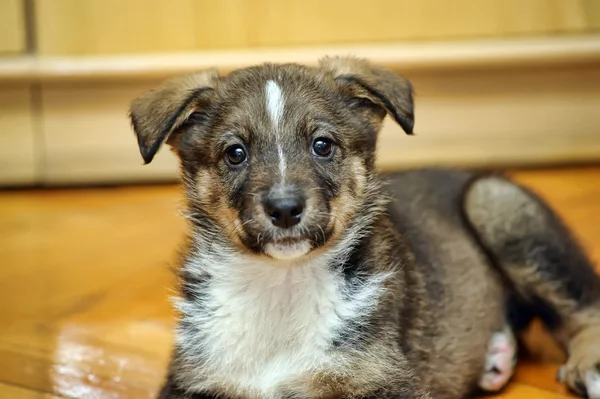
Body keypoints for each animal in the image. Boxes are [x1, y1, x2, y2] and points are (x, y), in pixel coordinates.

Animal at [127, 57, 600, 399]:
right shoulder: (192, 379)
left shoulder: (380, 378)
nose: (285, 209)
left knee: (583, 308)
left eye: (322, 145)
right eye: (235, 153)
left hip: (494, 201)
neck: (282, 285)